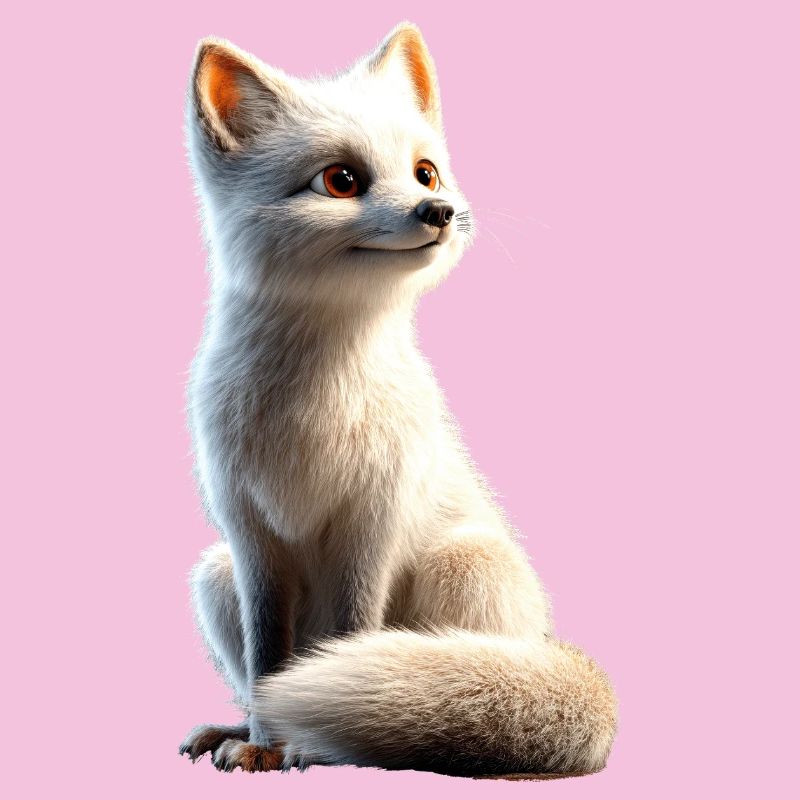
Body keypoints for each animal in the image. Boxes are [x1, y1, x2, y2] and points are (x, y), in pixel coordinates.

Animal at [179, 21, 617, 778]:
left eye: (425, 172)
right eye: (342, 180)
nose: (437, 212)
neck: (313, 408)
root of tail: (546, 639)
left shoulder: (373, 517)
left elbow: (352, 634)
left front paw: (310, 747)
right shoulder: (251, 534)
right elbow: (269, 662)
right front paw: (263, 741)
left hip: (463, 565)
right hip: (215, 575)